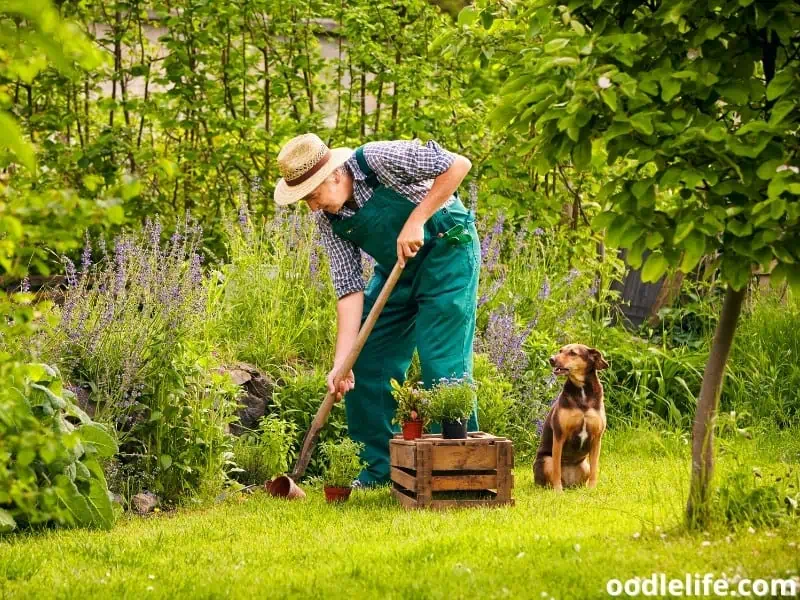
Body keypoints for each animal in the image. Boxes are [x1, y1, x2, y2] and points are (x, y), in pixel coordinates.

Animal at [536, 342, 608, 492]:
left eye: (573, 353)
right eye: (560, 351)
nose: (551, 359)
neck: (582, 390)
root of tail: (569, 484)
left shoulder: (596, 438)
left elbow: (595, 469)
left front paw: (592, 489)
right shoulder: (559, 435)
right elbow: (557, 469)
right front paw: (558, 491)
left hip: (585, 465)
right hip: (546, 460)